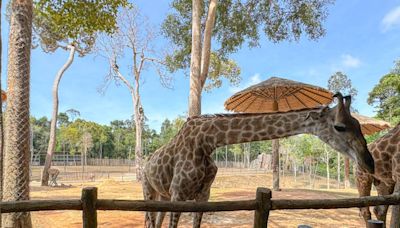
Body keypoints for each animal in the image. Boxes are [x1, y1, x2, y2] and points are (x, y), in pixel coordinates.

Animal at [142, 93, 374, 227]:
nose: (369, 163)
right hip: (149, 190)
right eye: (339, 126)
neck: (207, 142)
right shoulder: (178, 193)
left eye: (358, 124)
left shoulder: (203, 195)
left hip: (163, 195)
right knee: (149, 220)